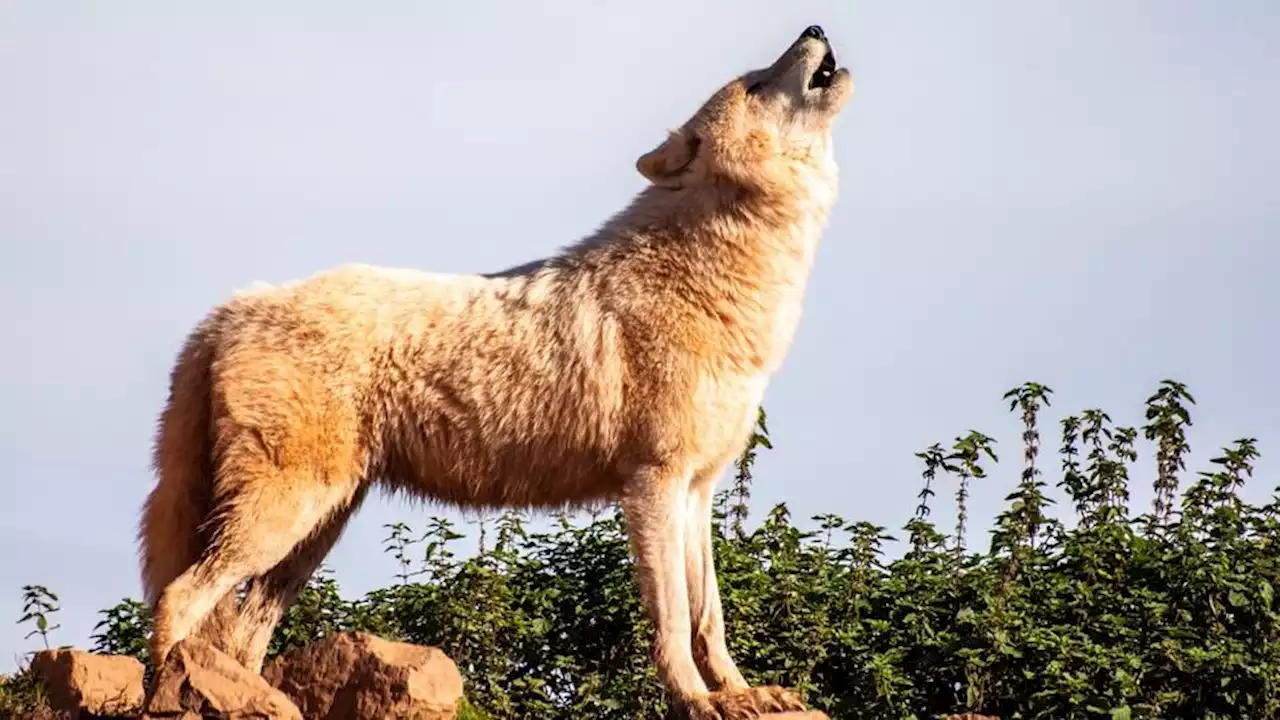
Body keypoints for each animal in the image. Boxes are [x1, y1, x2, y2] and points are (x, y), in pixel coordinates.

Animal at [137, 25, 849, 712]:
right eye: (756, 83)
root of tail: (229, 310)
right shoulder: (654, 483)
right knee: (179, 598)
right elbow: (673, 619)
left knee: (239, 633)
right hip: (283, 514)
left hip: (314, 528)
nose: (815, 26)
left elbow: (711, 617)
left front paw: (742, 693)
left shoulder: (698, 490)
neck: (713, 278)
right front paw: (697, 701)